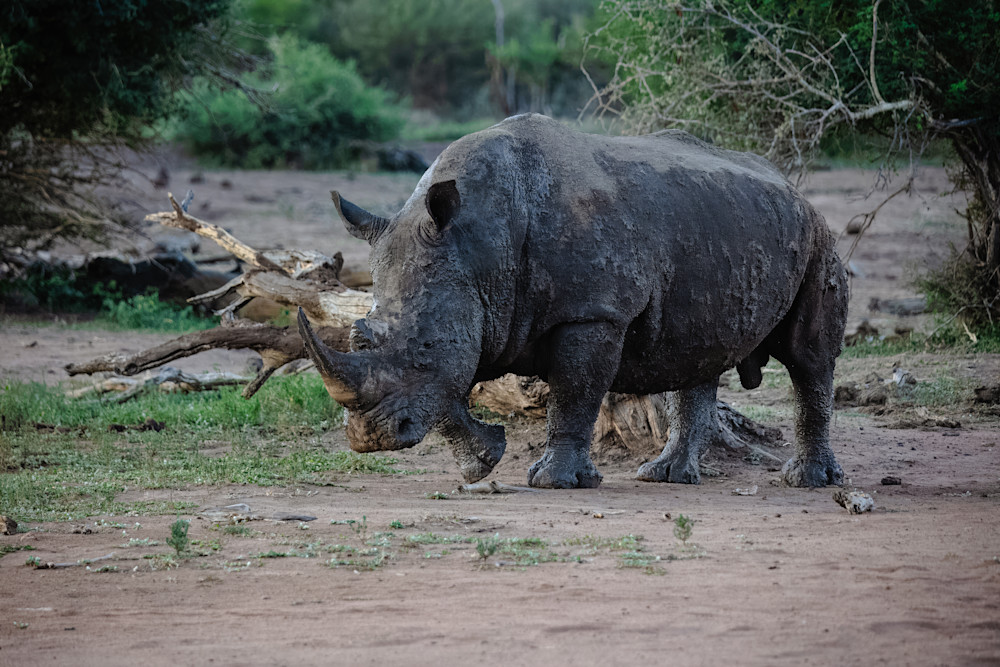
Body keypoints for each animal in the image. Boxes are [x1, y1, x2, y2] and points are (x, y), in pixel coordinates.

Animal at [298, 113, 847, 489]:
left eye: (424, 346)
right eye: (361, 337)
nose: (371, 439)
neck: (480, 244)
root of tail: (794, 189)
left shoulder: (593, 311)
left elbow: (573, 391)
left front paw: (554, 480)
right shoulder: (468, 300)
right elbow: (449, 393)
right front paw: (482, 463)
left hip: (817, 237)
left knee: (809, 359)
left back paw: (807, 480)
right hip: (720, 226)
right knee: (700, 350)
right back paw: (665, 475)